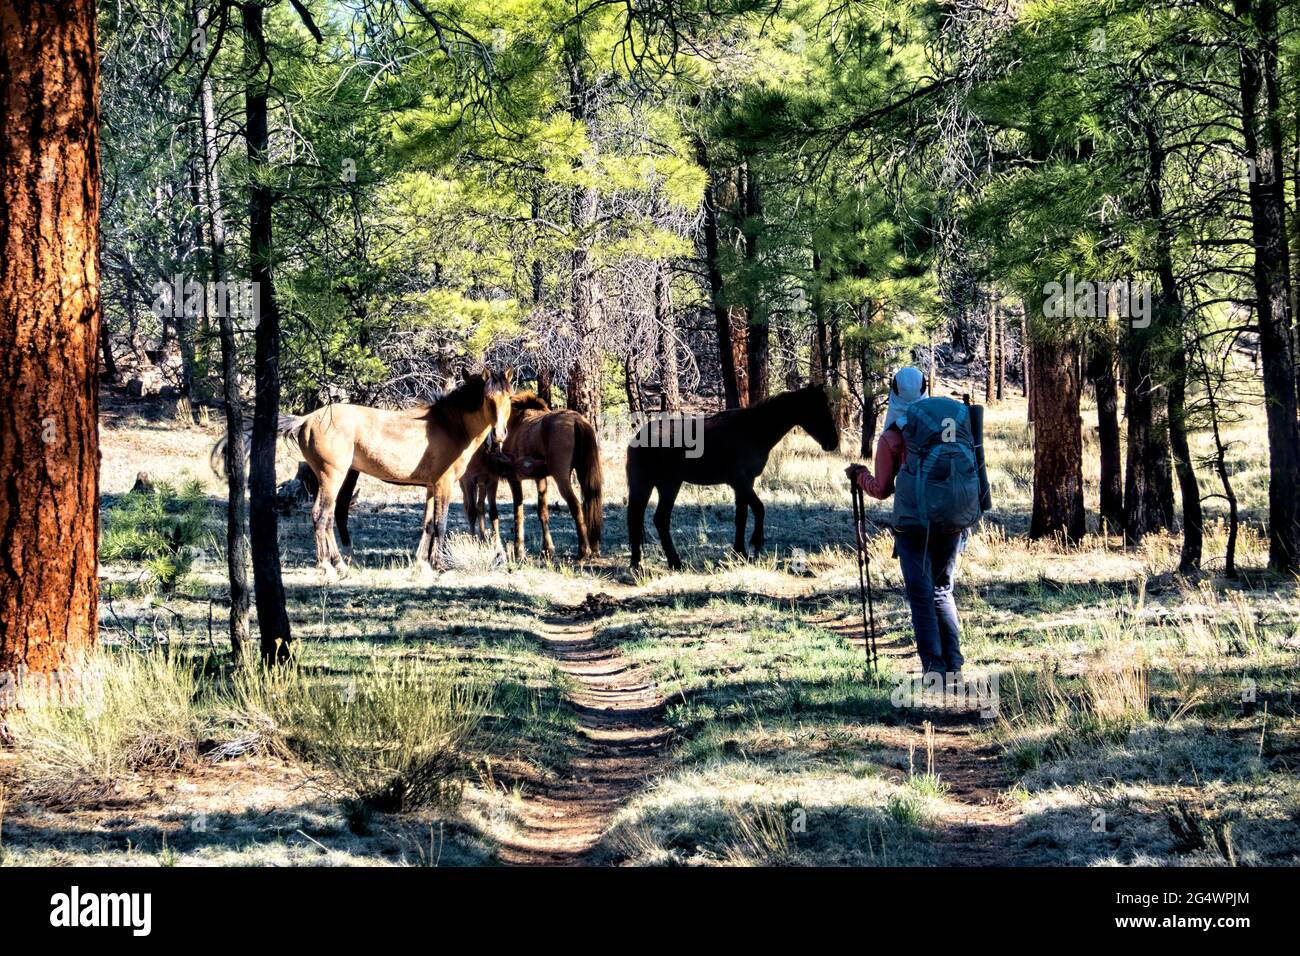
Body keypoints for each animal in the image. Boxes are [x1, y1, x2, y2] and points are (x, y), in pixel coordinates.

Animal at [214, 369, 514, 575]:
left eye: (509, 397)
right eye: (488, 399)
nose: (500, 434)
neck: (449, 425)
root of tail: (306, 419)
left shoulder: (431, 487)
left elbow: (428, 523)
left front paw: (422, 563)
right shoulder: (444, 485)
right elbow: (440, 524)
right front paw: (439, 565)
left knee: (329, 516)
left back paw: (338, 563)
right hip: (332, 477)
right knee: (321, 515)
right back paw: (329, 566)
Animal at [459, 392, 604, 560]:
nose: (493, 443)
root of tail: (576, 420)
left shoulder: (514, 479)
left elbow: (518, 512)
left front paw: (519, 550)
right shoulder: (540, 479)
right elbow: (542, 512)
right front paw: (547, 549)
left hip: (561, 478)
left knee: (576, 506)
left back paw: (583, 550)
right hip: (582, 473)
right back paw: (594, 547)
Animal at [625, 383, 840, 570]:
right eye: (816, 410)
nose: (833, 442)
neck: (752, 431)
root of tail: (638, 437)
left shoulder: (745, 483)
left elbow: (741, 517)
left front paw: (740, 553)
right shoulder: (741, 481)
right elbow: (759, 509)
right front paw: (756, 543)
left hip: (667, 485)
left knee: (658, 520)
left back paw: (669, 562)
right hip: (649, 485)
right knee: (640, 519)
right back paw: (641, 565)